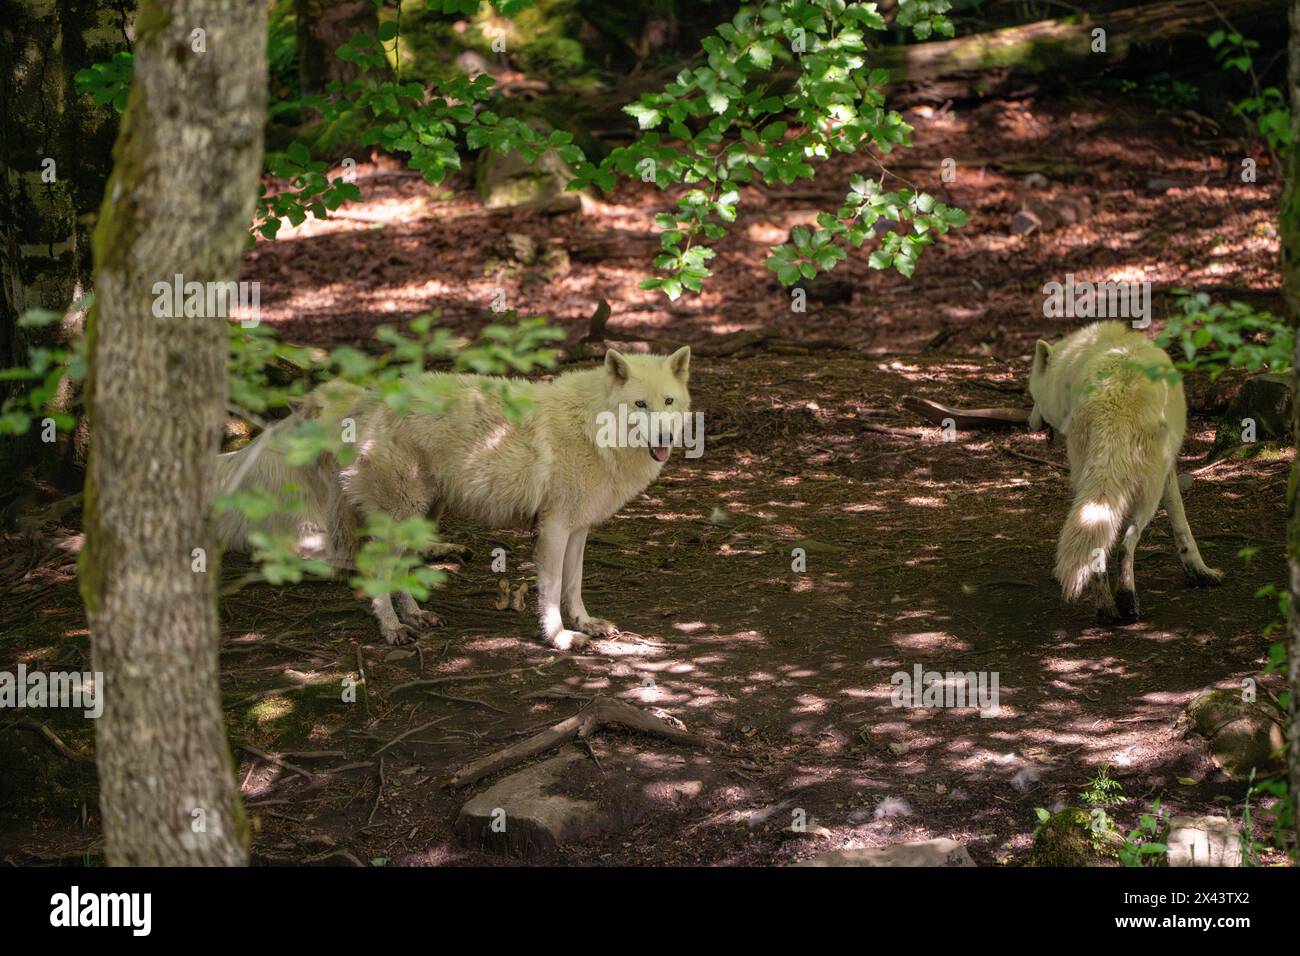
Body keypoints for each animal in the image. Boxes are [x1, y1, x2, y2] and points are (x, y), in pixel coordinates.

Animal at [218, 347, 692, 648]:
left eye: (668, 401)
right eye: (640, 404)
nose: (665, 437)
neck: (592, 425)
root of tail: (360, 402)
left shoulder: (578, 528)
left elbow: (574, 584)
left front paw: (586, 624)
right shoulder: (554, 527)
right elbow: (553, 588)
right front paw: (559, 637)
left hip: (423, 515)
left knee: (400, 570)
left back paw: (416, 616)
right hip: (402, 514)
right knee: (375, 569)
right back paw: (393, 630)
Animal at [1027, 321, 1222, 624]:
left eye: (1034, 397)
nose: (1029, 422)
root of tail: (1117, 397)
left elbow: (1182, 526)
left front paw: (1200, 571)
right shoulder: (1167, 472)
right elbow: (1181, 524)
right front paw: (1199, 571)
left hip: (1093, 479)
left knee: (1104, 543)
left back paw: (1107, 609)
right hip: (1147, 492)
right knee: (1126, 543)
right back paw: (1126, 601)